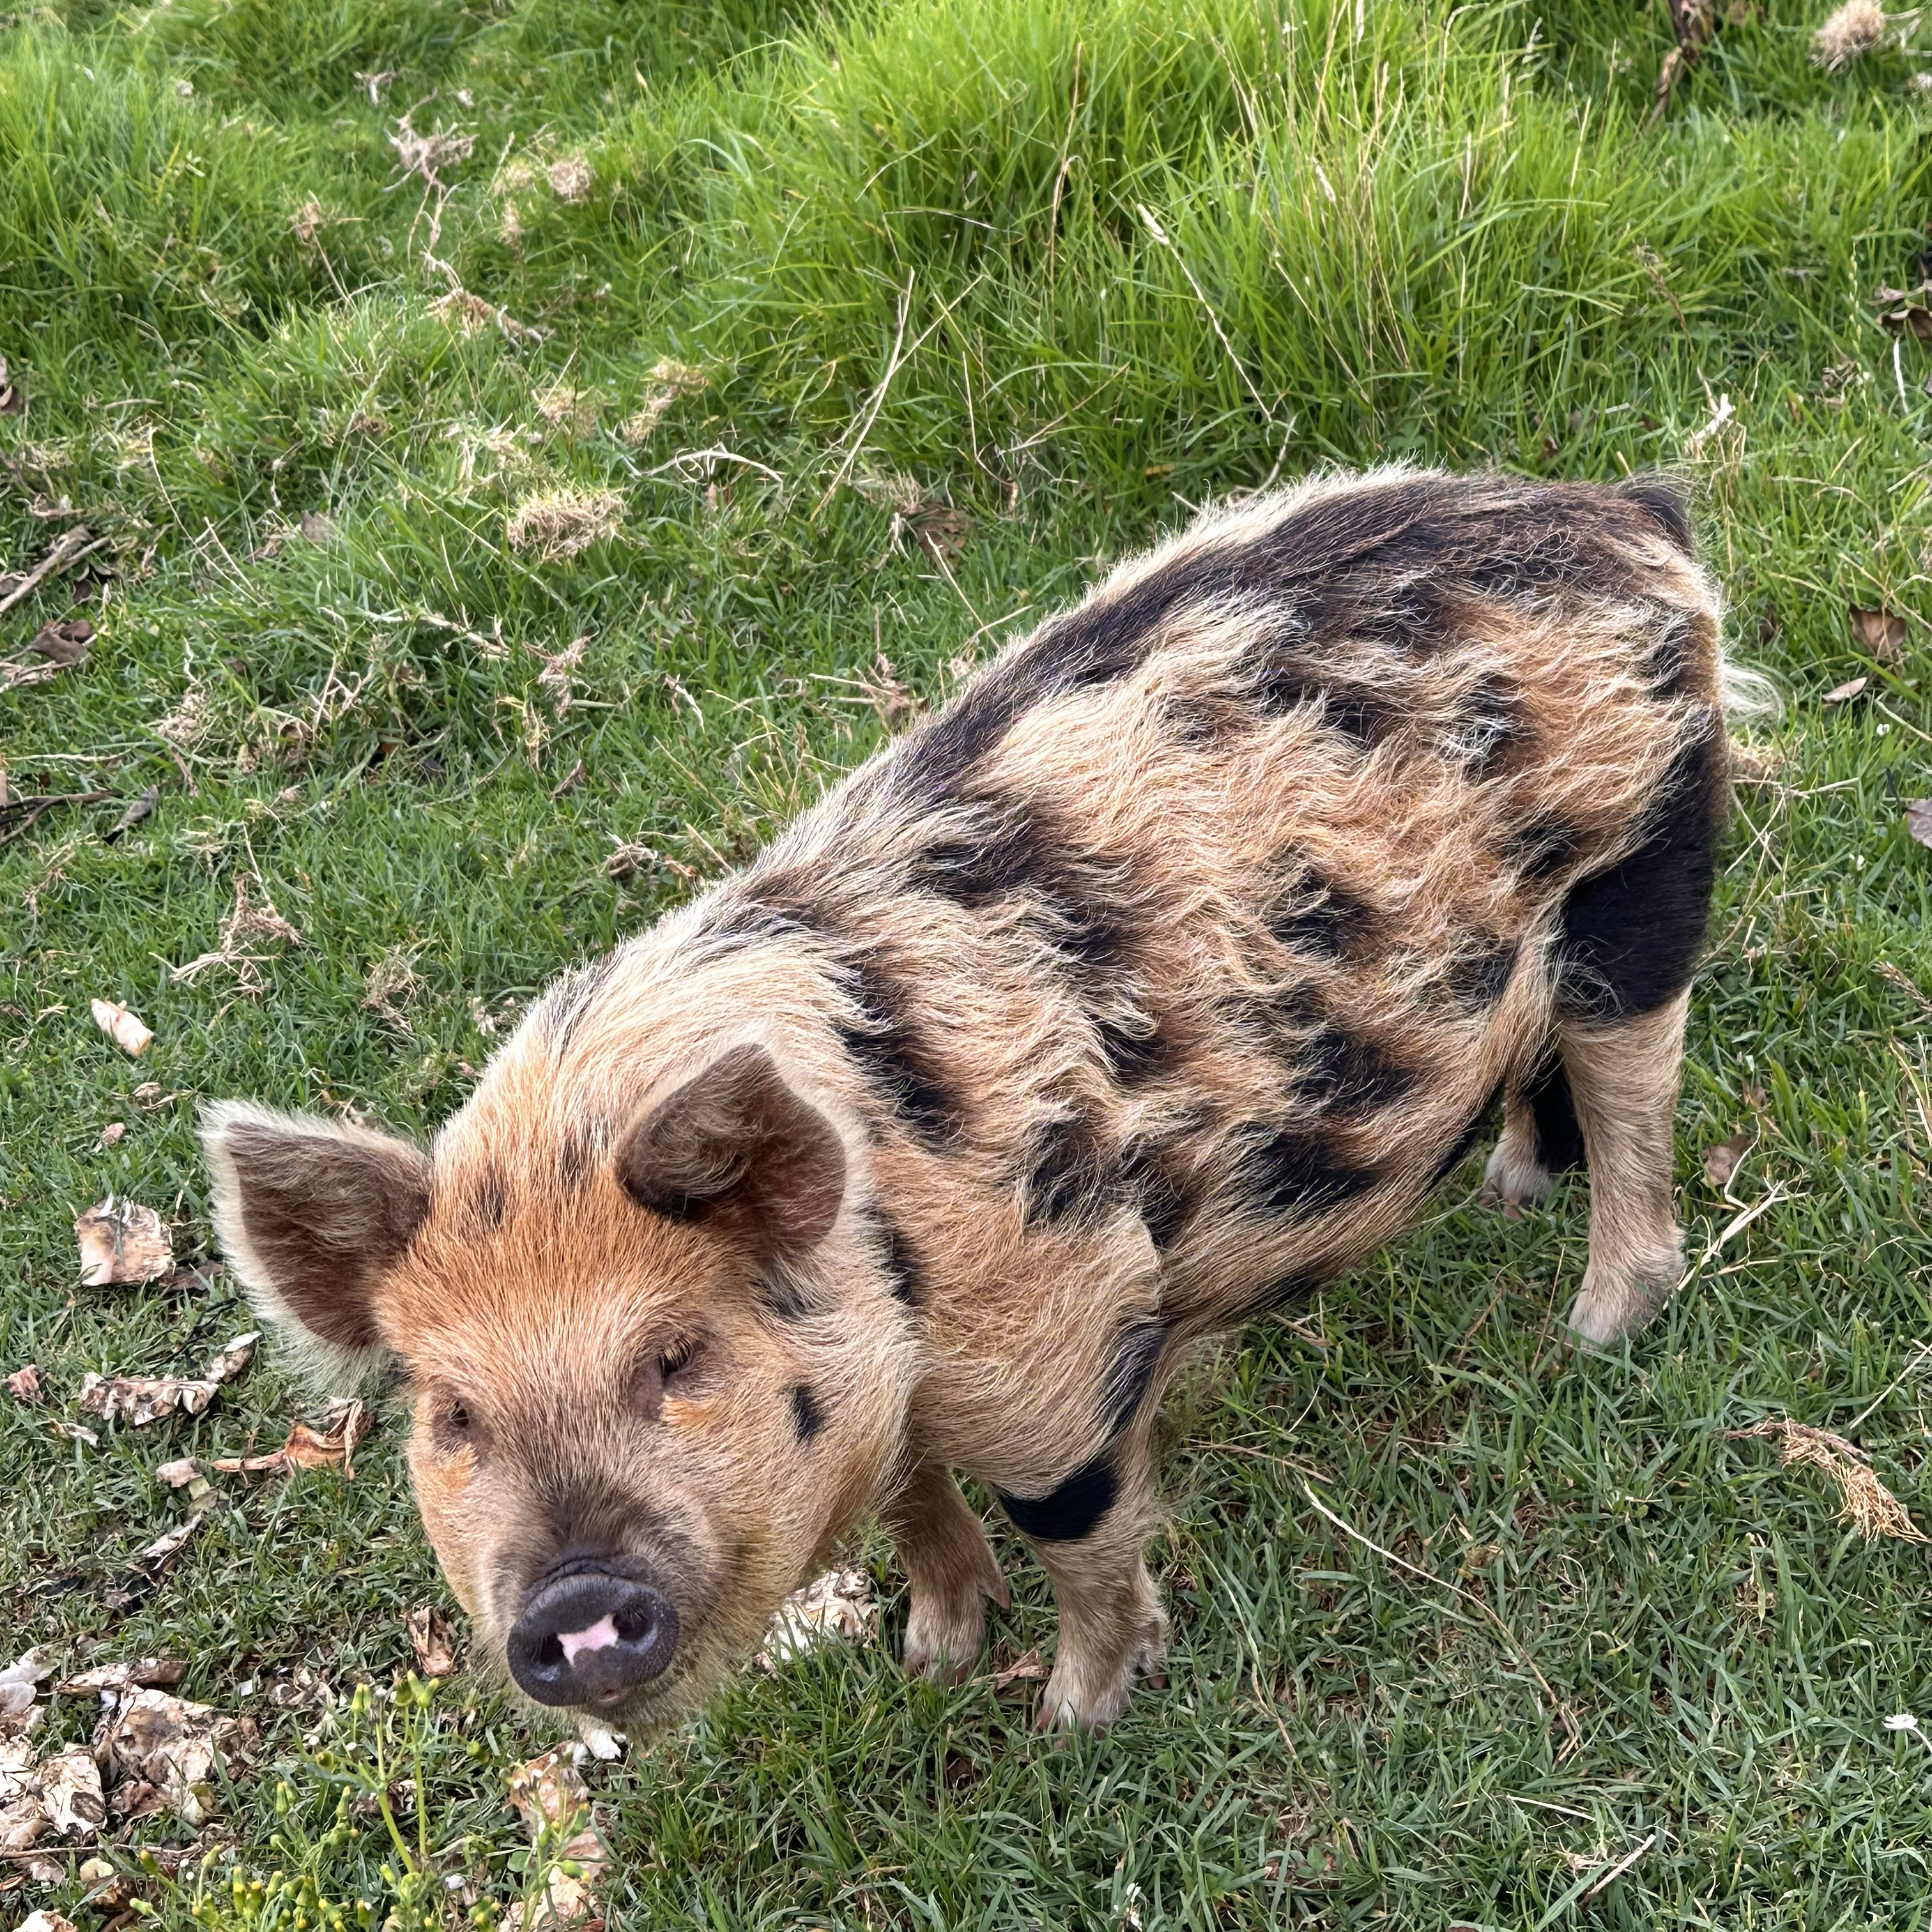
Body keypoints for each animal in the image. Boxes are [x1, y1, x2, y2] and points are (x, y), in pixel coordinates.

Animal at [201, 466, 1760, 1736]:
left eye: (676, 1355)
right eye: (454, 1415)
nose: (575, 1610)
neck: (884, 1255)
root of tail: (1624, 518)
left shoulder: (1054, 1337)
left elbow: (1070, 1522)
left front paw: (1078, 1714)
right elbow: (911, 1504)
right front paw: (932, 1657)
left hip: (1645, 857)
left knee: (1630, 1072)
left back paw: (1599, 1324)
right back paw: (1507, 1193)